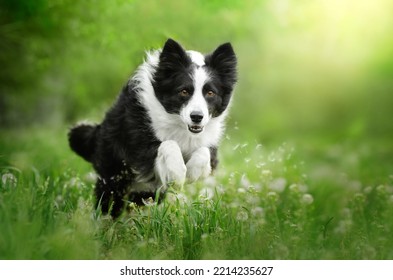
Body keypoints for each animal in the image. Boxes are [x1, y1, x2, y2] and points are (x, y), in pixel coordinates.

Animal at [68, 38, 236, 218]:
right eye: (184, 91)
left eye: (210, 93)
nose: (197, 117)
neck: (180, 124)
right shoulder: (139, 146)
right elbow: (168, 143)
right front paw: (177, 175)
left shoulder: (209, 145)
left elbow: (204, 151)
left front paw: (191, 173)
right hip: (115, 173)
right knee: (110, 200)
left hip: (144, 190)